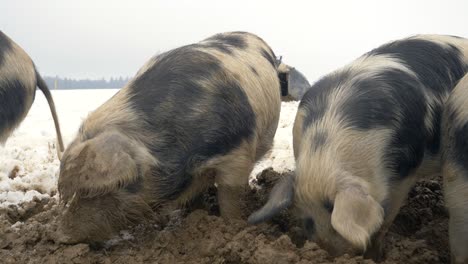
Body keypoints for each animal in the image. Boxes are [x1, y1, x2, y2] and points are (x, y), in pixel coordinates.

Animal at [54, 31, 282, 243]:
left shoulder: (237, 151)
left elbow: (230, 196)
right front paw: (192, 217)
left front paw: (233, 225)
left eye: (111, 187)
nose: (62, 236)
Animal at [249, 34, 468, 260]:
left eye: (332, 213)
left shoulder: (406, 169)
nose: (335, 254)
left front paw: (375, 256)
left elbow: (385, 218)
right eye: (307, 222)